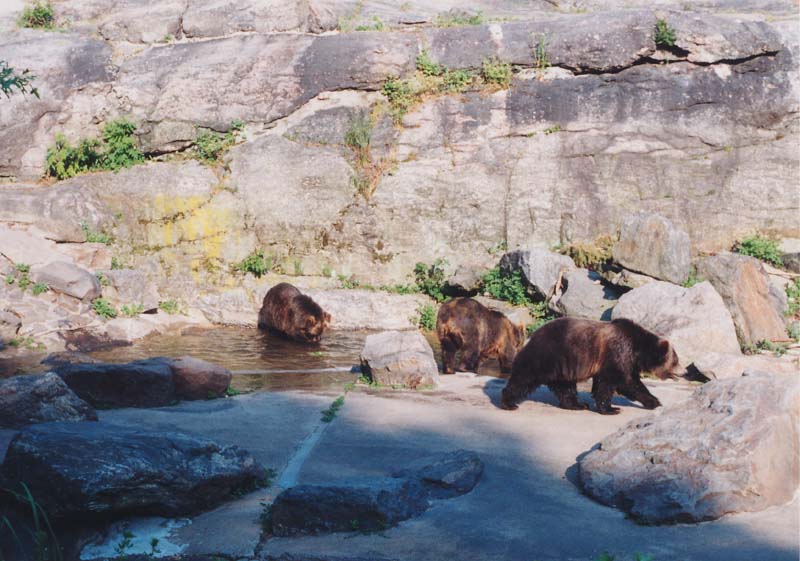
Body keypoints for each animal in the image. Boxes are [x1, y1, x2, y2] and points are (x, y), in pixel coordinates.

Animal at [500, 317, 680, 414]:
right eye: (676, 360)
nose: (682, 371)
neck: (638, 349)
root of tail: (534, 334)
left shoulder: (623, 361)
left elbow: (625, 383)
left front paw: (654, 401)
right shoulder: (617, 353)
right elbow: (620, 383)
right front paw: (612, 409)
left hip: (563, 366)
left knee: (565, 387)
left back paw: (577, 404)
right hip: (548, 354)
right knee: (525, 376)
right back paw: (509, 402)